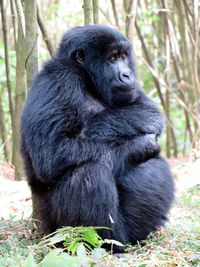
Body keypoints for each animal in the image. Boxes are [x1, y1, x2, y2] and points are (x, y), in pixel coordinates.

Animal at [19, 25, 174, 247]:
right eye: (112, 58)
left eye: (123, 56)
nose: (127, 74)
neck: (87, 79)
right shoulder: (59, 78)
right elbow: (52, 152)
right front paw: (139, 145)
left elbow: (147, 108)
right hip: (54, 231)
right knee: (88, 173)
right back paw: (107, 244)